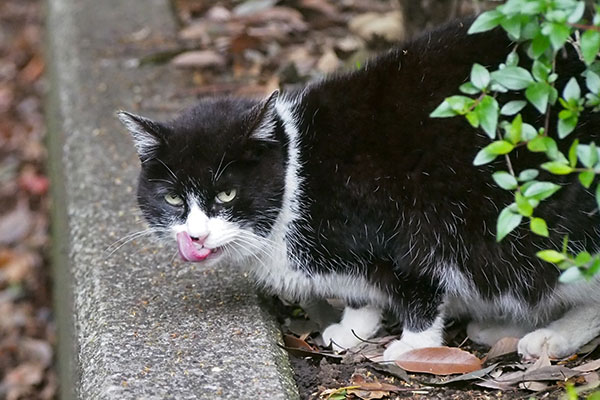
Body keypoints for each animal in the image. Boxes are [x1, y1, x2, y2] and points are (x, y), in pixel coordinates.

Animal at [118, 19, 600, 362]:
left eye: (226, 196)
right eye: (173, 198)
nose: (195, 236)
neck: (299, 173)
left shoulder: (405, 218)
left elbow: (418, 283)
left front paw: (414, 345)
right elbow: (359, 289)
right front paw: (355, 326)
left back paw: (549, 336)